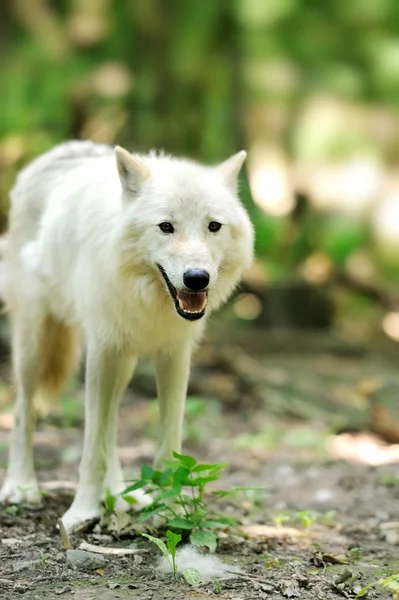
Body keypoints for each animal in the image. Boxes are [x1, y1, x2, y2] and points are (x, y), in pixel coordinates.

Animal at [0, 141, 255, 528]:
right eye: (166, 226)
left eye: (214, 226)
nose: (197, 279)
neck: (151, 300)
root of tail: (58, 151)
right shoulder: (102, 351)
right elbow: (91, 446)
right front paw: (82, 511)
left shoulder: (175, 356)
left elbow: (169, 442)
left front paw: (171, 509)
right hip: (35, 343)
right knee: (24, 410)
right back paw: (22, 485)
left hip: (124, 364)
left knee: (111, 425)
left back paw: (121, 496)